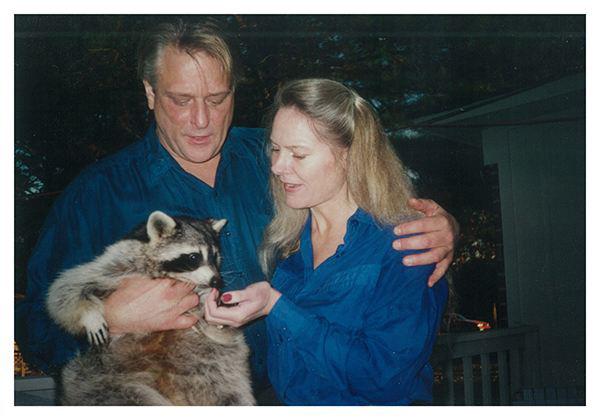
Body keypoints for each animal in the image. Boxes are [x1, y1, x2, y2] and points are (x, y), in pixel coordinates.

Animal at [45, 212, 255, 406]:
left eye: (215, 256)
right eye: (194, 257)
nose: (217, 282)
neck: (172, 276)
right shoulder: (116, 263)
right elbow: (67, 289)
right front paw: (89, 315)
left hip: (208, 365)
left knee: (229, 391)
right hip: (97, 377)